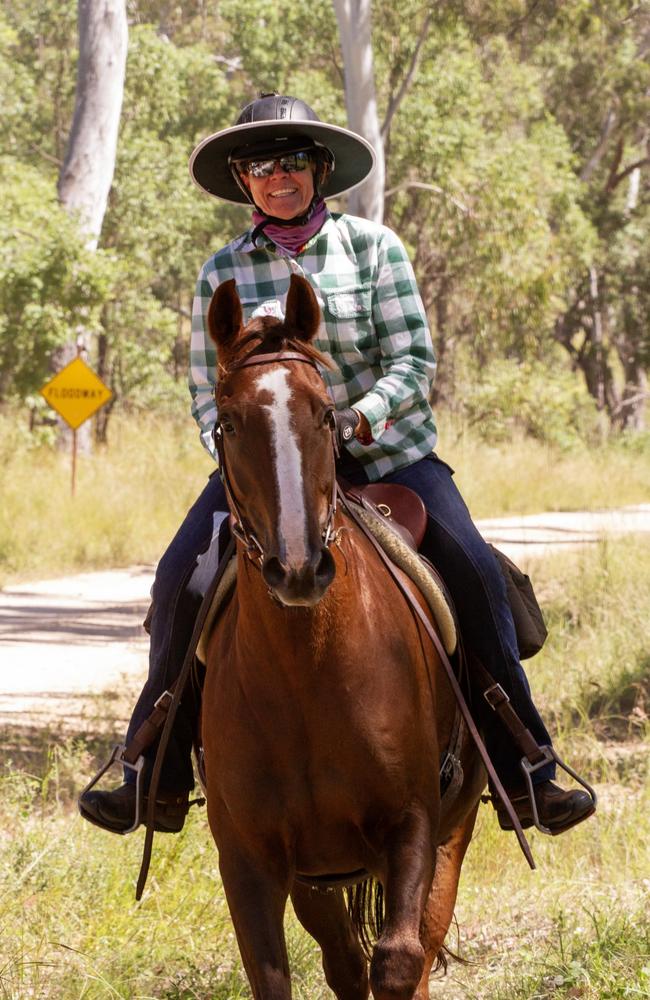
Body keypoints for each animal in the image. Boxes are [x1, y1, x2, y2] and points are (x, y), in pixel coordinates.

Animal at [204, 276, 486, 1000]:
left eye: (327, 416)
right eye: (228, 423)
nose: (300, 567)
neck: (306, 675)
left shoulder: (411, 827)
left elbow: (401, 963)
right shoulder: (248, 857)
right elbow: (275, 974)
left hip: (450, 833)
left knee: (418, 948)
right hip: (319, 877)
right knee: (342, 962)